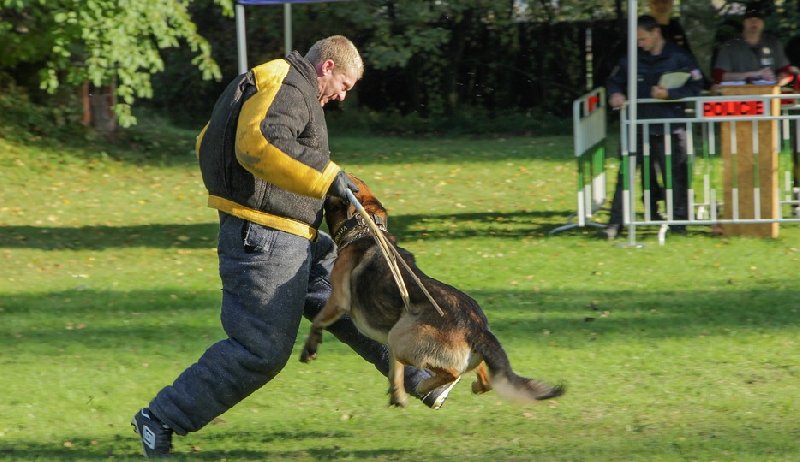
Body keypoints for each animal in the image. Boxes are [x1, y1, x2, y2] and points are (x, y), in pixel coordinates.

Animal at [296, 175, 564, 406]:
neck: (367, 228)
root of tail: (477, 329)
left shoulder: (338, 299)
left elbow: (318, 320)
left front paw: (310, 347)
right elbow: (395, 370)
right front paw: (398, 394)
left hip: (400, 337)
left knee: (453, 372)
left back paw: (427, 386)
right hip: (405, 335)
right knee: (484, 377)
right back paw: (465, 386)